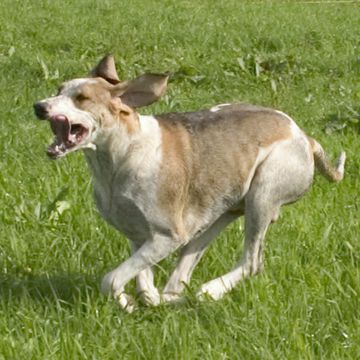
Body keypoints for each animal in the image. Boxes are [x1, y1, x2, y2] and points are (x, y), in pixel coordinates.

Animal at [34, 54, 346, 310]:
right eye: (59, 89)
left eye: (82, 98)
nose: (39, 107)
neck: (122, 154)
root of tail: (305, 137)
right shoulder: (138, 236)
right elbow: (140, 285)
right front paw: (132, 302)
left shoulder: (166, 236)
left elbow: (110, 280)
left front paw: (127, 301)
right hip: (219, 217)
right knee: (181, 278)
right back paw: (177, 297)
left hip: (262, 195)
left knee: (252, 262)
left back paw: (210, 291)